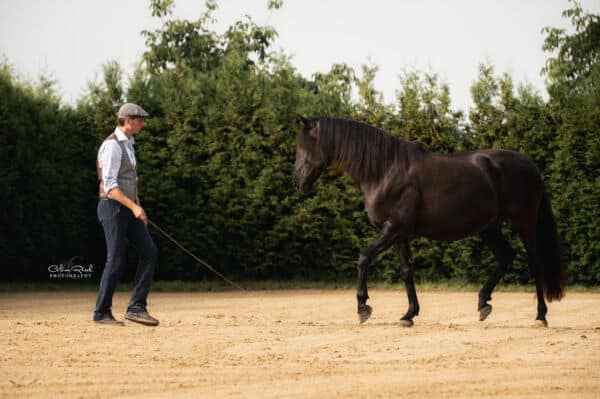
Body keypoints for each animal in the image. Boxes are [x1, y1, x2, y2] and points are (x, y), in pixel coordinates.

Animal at [292, 116, 564, 328]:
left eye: (305, 147)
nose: (298, 183)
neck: (384, 171)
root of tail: (532, 167)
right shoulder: (399, 234)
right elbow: (406, 271)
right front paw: (409, 314)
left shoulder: (393, 229)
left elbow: (363, 258)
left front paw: (363, 307)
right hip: (489, 227)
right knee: (506, 256)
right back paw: (483, 303)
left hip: (524, 222)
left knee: (534, 263)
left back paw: (540, 316)